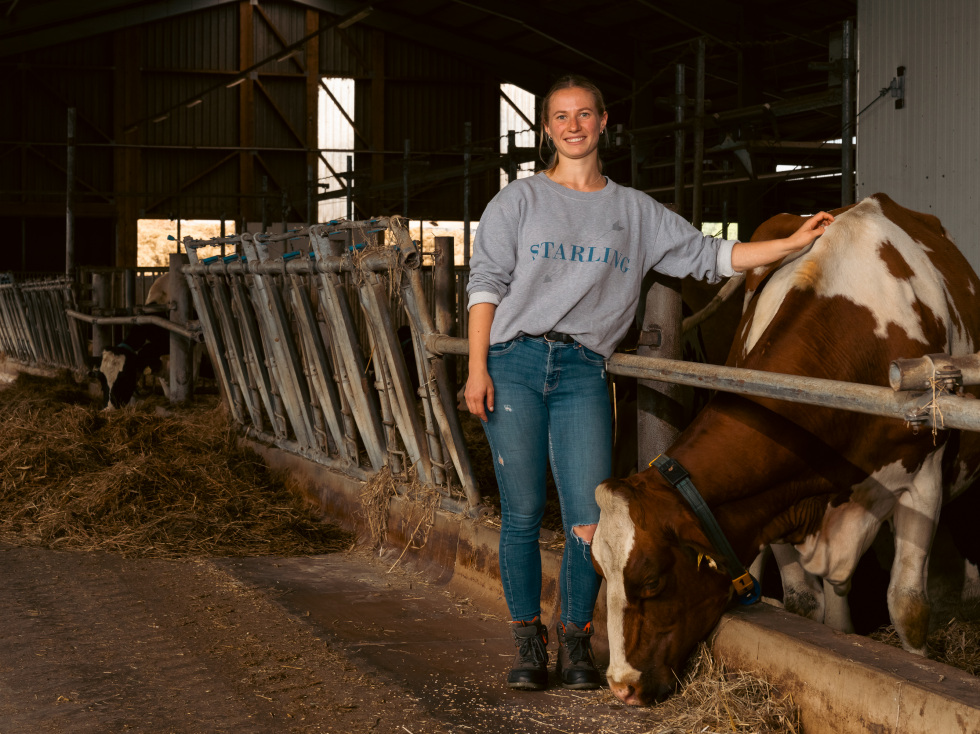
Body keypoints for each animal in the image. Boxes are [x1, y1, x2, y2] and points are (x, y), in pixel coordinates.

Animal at [588, 194, 980, 708]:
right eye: (599, 567)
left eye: (652, 580)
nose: (620, 685)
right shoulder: (773, 503)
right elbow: (804, 600)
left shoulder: (924, 480)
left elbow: (908, 605)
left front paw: (920, 666)